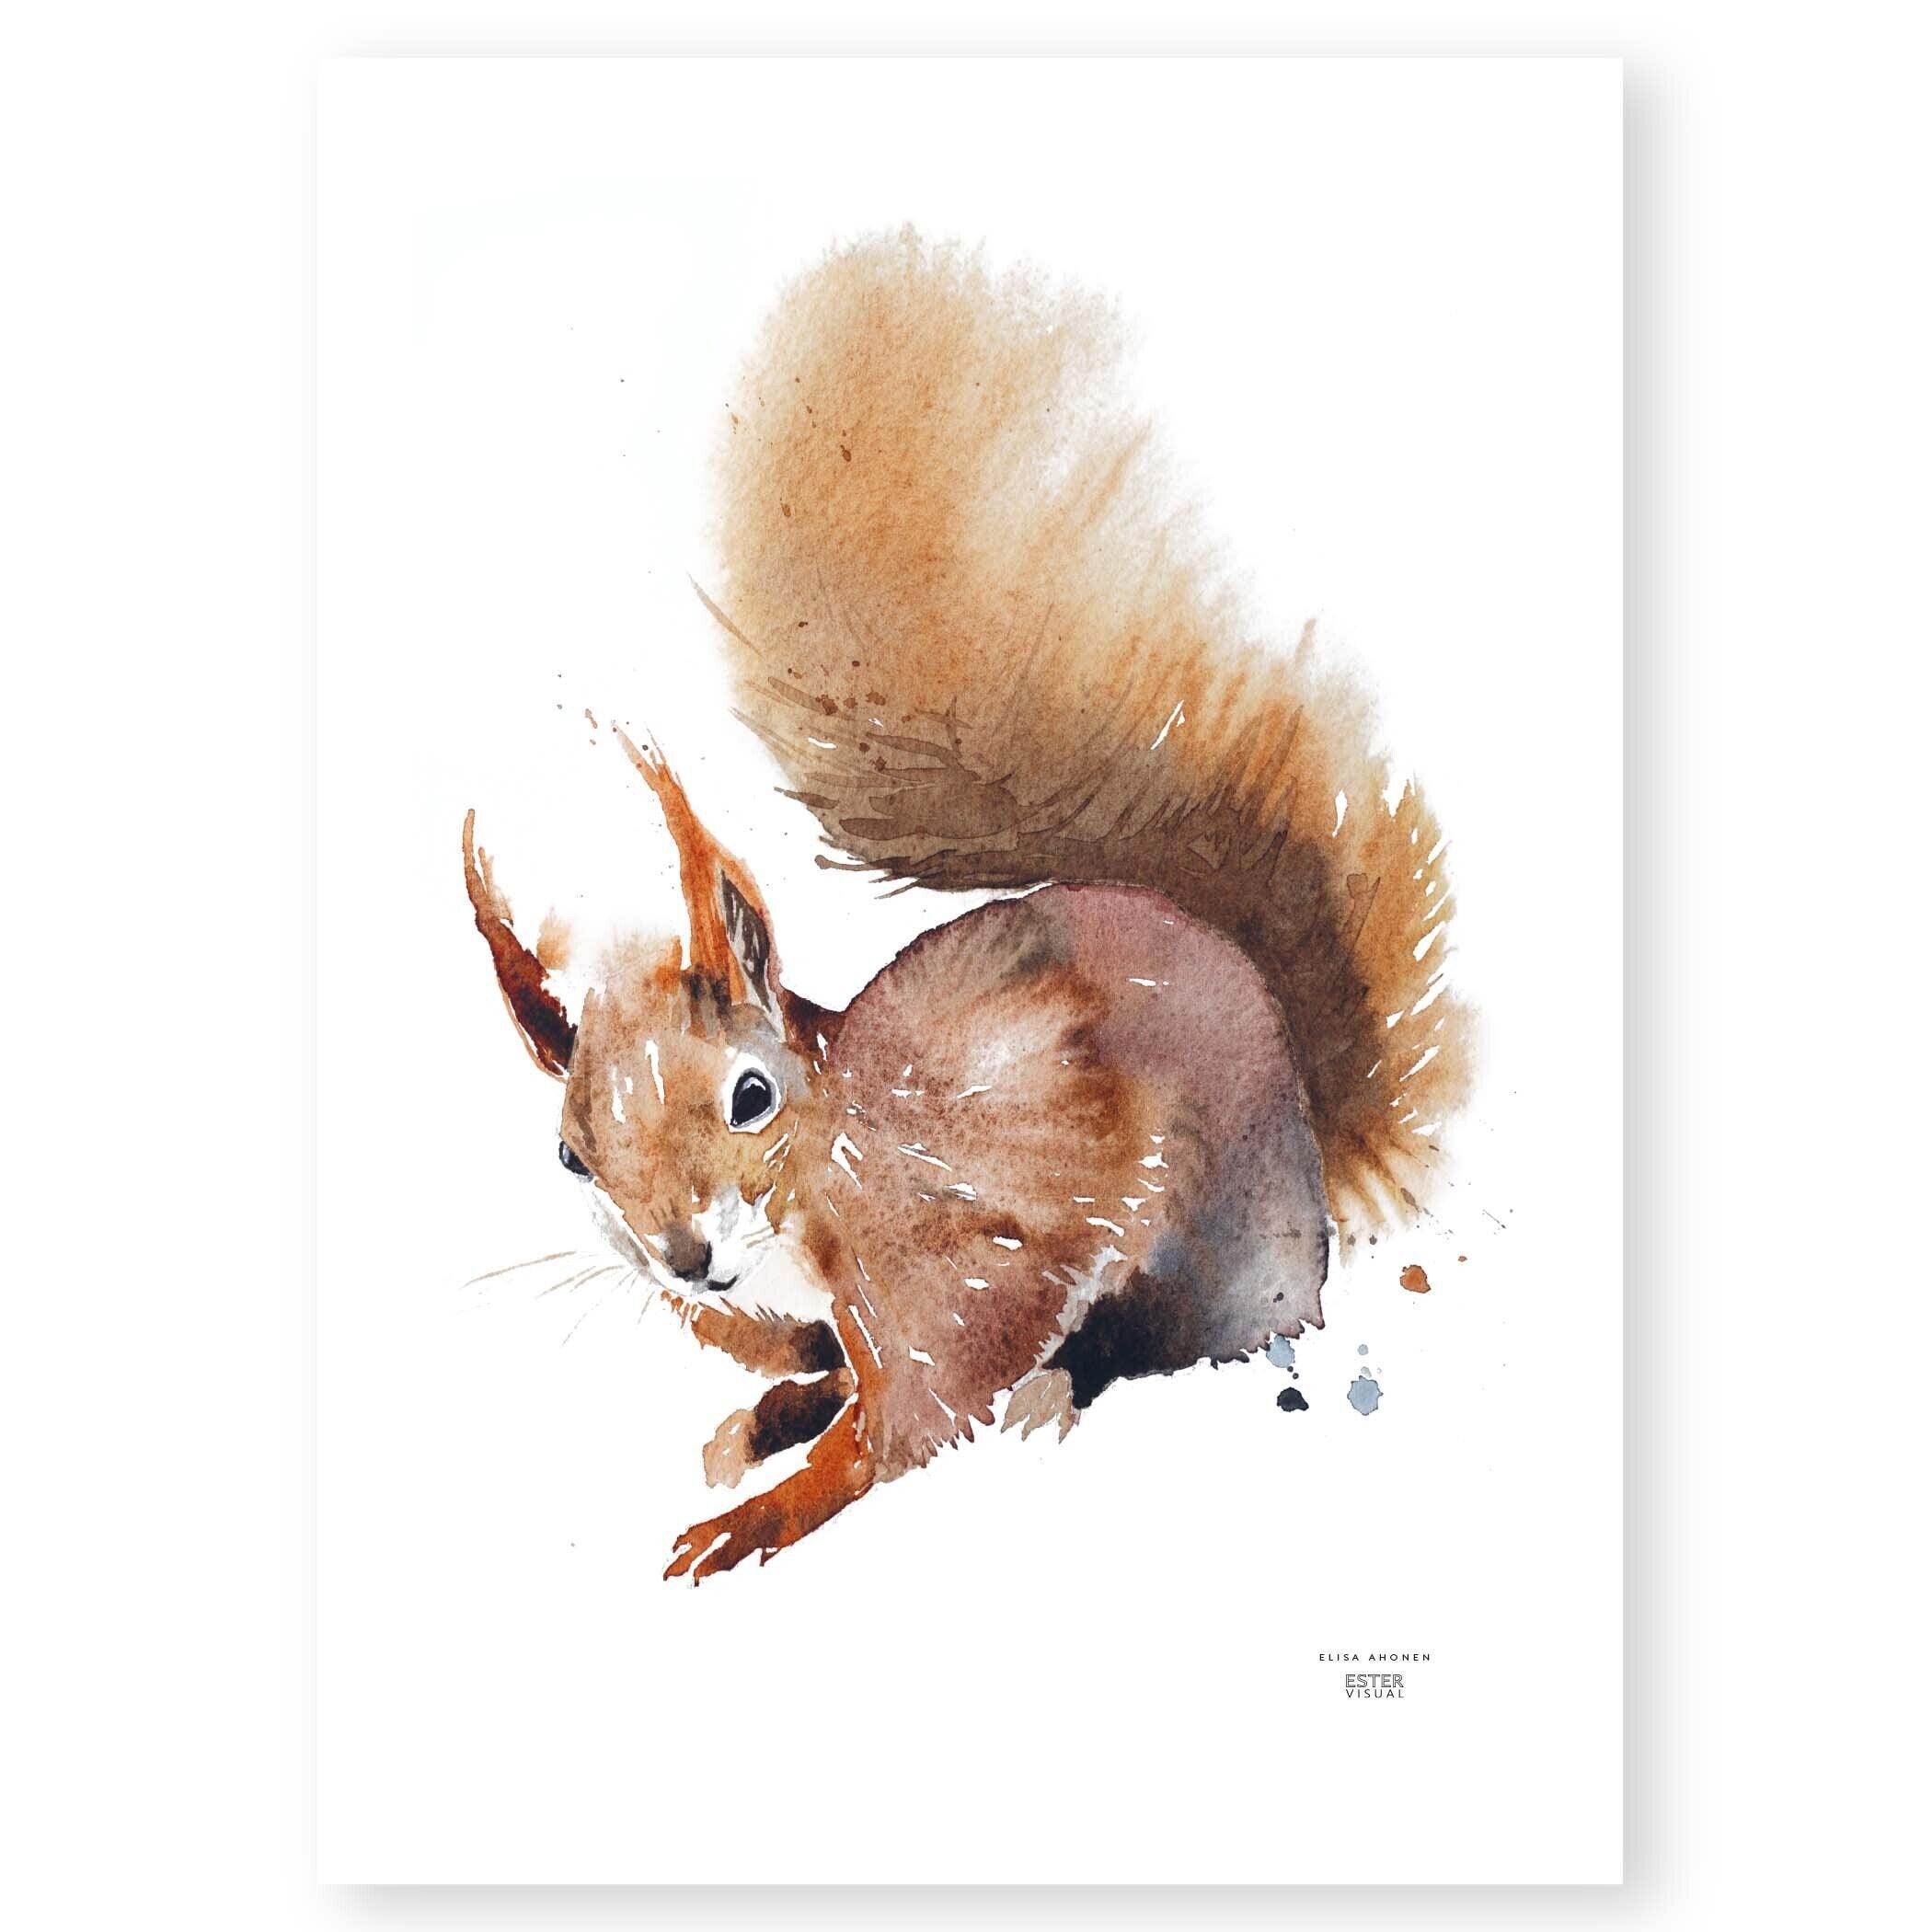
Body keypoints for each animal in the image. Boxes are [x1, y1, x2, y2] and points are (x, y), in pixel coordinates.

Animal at [462, 230, 1468, 1582]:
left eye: (750, 1095)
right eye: (569, 1152)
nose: (687, 1261)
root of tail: (1313, 1150)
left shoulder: (952, 1256)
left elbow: (915, 1407)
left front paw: (758, 1517)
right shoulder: (793, 1316)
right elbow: (828, 1377)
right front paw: (761, 1426)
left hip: (1214, 1240)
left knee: (1182, 1339)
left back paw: (1062, 1391)